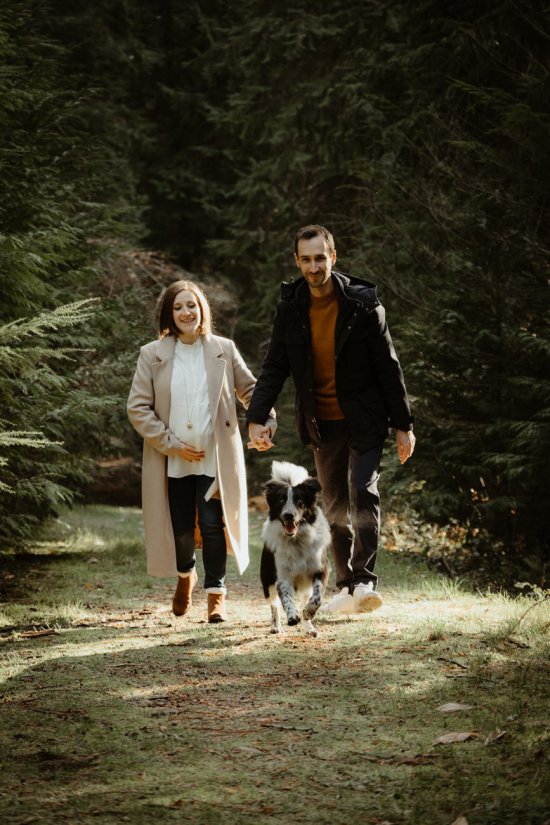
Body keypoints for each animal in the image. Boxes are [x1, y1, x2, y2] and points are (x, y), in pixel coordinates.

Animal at [260, 460, 330, 636]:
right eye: (281, 501)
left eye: (300, 502)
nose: (289, 515)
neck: (296, 540)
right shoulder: (282, 576)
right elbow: (285, 598)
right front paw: (292, 616)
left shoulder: (320, 570)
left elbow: (317, 597)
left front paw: (308, 613)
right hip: (267, 580)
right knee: (274, 605)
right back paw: (275, 626)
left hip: (306, 586)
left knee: (306, 599)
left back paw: (309, 627)